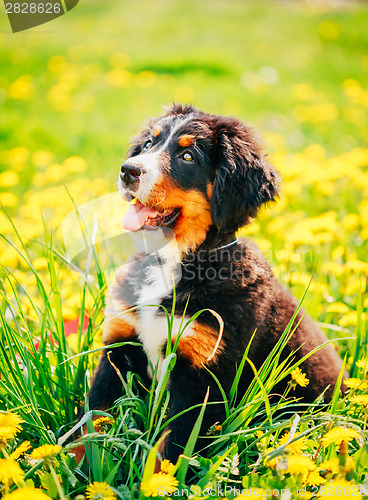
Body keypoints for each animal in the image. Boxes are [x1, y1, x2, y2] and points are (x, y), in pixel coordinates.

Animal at [85, 102, 346, 464]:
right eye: (149, 144)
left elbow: (168, 453)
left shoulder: (203, 376)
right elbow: (87, 428)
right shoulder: (119, 347)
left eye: (187, 156)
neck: (170, 263)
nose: (128, 171)